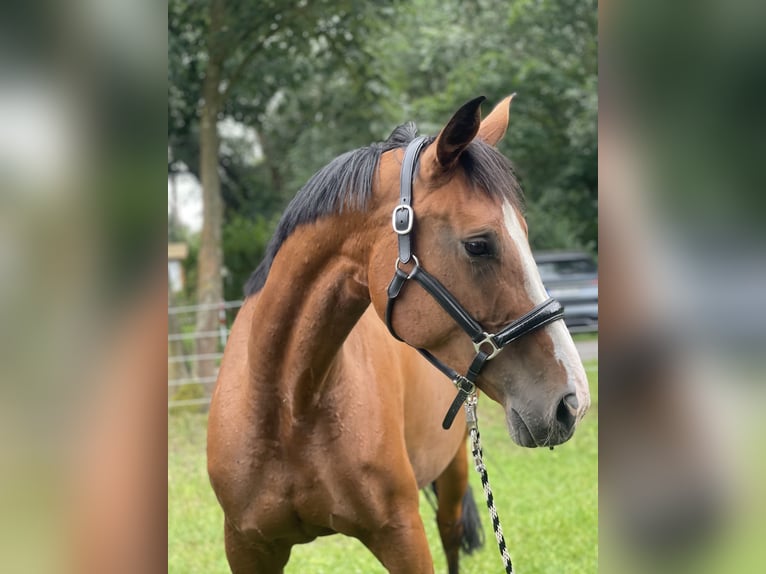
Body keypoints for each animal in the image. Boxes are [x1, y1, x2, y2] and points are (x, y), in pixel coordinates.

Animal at [207, 97, 592, 572]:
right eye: (478, 244)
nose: (573, 401)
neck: (288, 409)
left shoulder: (402, 534)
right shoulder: (247, 547)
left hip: (453, 473)